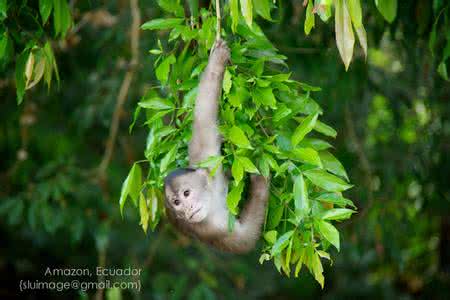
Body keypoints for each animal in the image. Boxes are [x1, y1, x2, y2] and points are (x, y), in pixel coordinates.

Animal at [163, 39, 268, 253]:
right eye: (176, 202)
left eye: (186, 194)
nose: (186, 209)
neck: (211, 199)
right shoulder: (212, 228)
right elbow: (245, 240)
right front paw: (260, 183)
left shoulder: (207, 158)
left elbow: (203, 114)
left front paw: (216, 62)